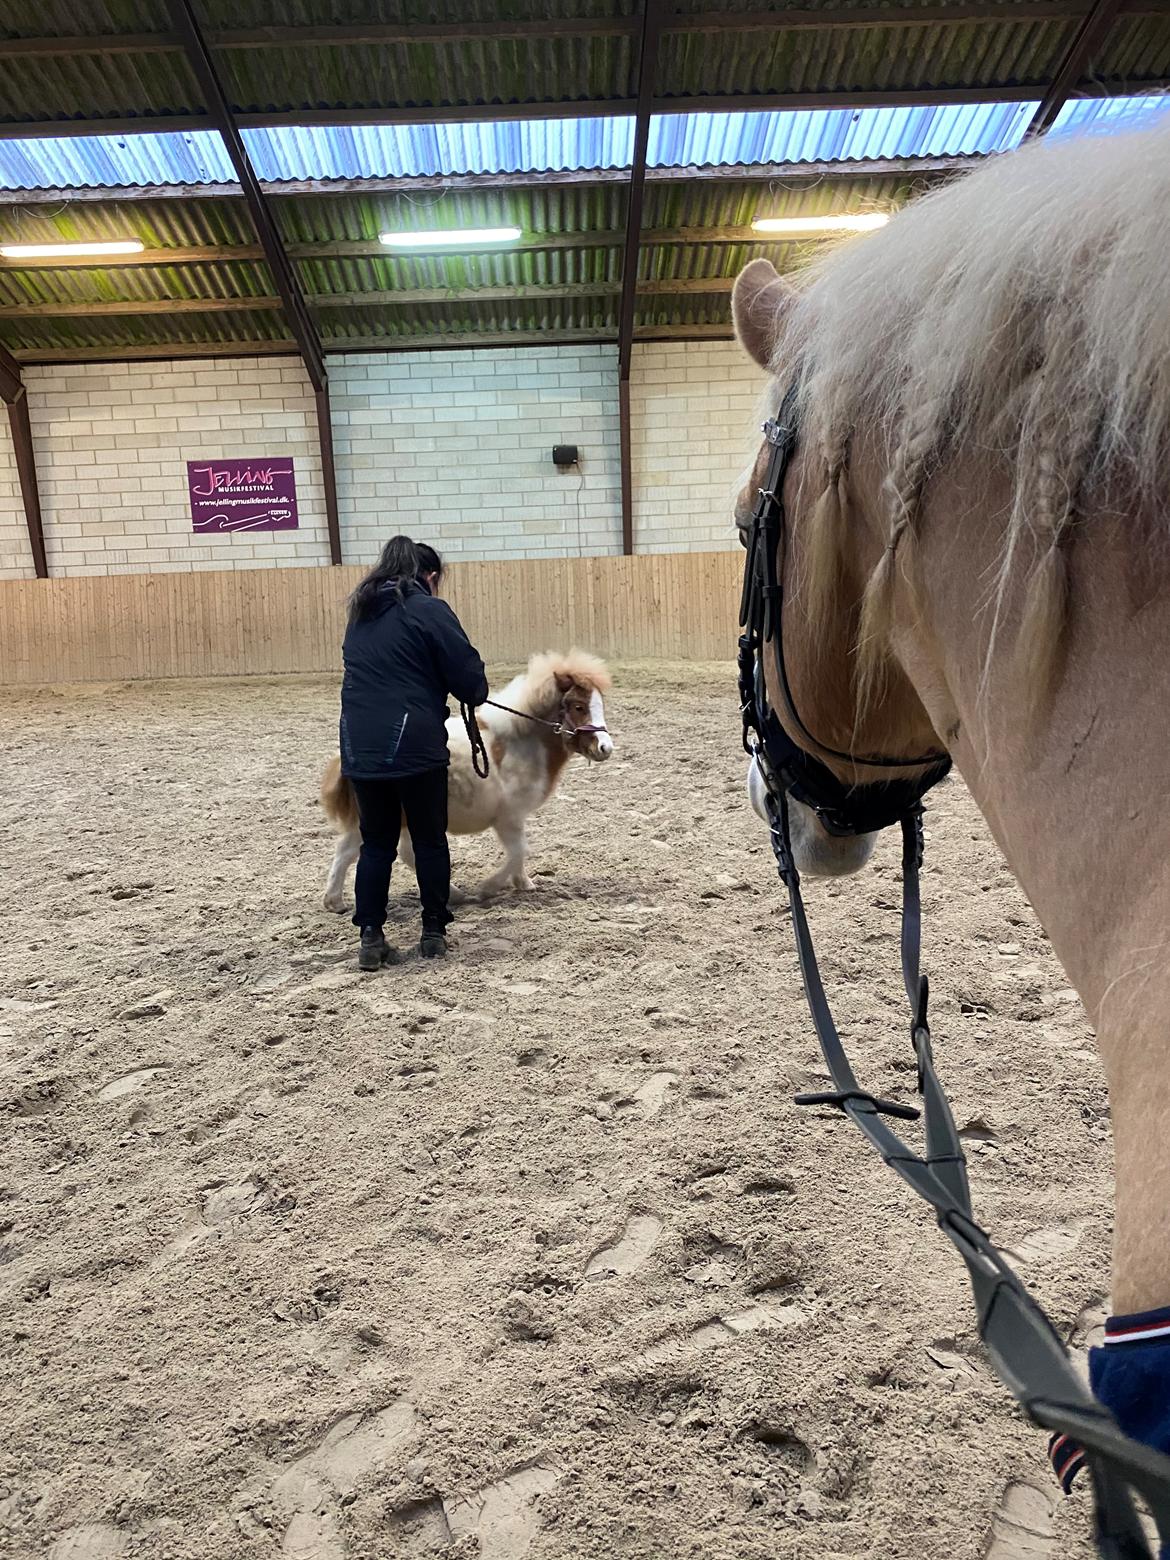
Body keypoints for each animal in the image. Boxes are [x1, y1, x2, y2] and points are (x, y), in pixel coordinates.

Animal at [321, 652, 614, 911]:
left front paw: (524, 883)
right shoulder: (508, 816)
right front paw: (489, 888)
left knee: (355, 851)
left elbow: (519, 851)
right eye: (579, 706)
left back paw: (335, 902)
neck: (520, 741)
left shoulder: (514, 817)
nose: (605, 748)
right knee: (380, 852)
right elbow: (519, 850)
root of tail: (346, 756)